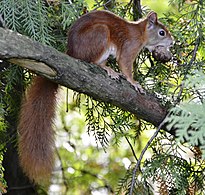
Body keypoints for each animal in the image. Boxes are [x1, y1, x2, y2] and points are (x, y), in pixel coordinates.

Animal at [17, 9, 173, 183]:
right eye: (162, 32)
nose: (172, 43)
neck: (140, 32)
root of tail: (72, 52)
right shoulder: (130, 46)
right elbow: (125, 65)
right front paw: (134, 83)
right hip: (100, 34)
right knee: (92, 61)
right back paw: (109, 69)